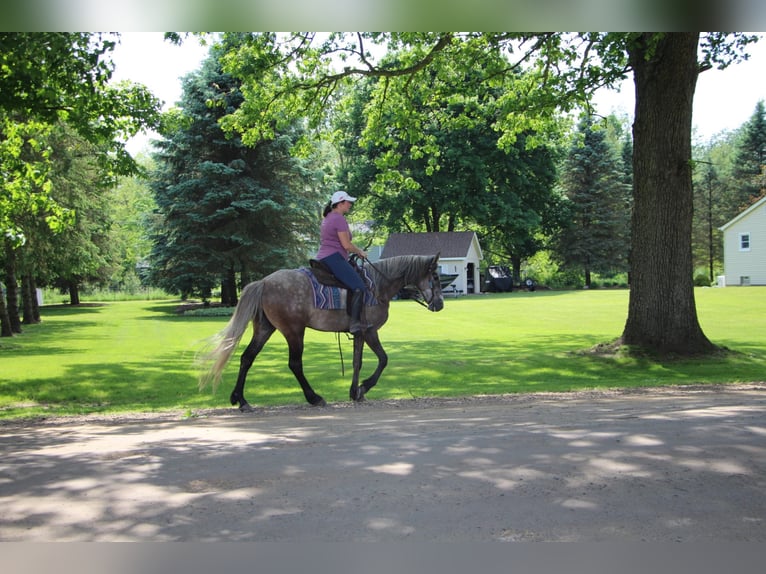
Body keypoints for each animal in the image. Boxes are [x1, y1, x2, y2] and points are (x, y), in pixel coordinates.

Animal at [198, 254, 444, 412]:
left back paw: (240, 400)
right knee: (295, 364)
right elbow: (383, 359)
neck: (378, 285)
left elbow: (357, 362)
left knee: (247, 358)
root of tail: (264, 282)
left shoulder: (359, 334)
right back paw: (314, 398)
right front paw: (364, 387)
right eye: (436, 277)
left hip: (265, 328)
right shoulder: (370, 331)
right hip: (294, 331)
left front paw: (355, 392)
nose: (440, 304)